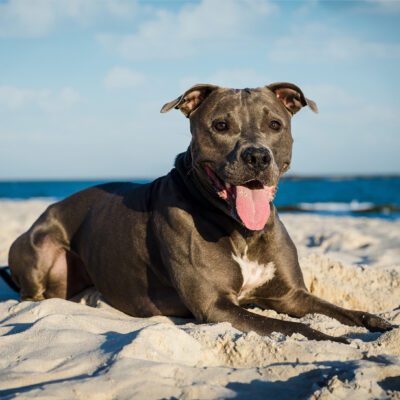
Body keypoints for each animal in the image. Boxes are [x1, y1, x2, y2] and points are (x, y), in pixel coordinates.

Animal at [8, 83, 390, 342]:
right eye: (220, 126)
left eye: (275, 125)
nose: (257, 156)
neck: (241, 229)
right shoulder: (217, 306)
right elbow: (290, 327)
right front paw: (335, 340)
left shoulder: (291, 295)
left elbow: (338, 310)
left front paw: (374, 323)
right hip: (41, 249)